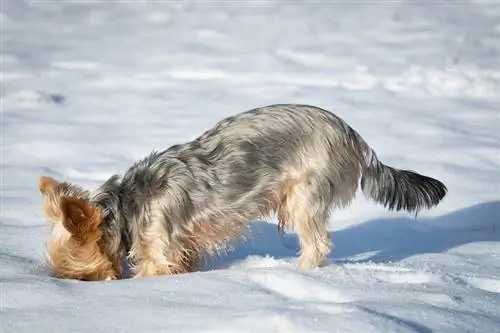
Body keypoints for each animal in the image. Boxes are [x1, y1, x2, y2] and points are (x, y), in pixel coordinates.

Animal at [37, 104, 448, 280]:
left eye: (81, 274)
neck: (126, 204)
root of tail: (356, 139)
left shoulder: (158, 244)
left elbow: (154, 269)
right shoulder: (185, 245)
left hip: (305, 191)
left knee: (317, 244)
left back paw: (299, 274)